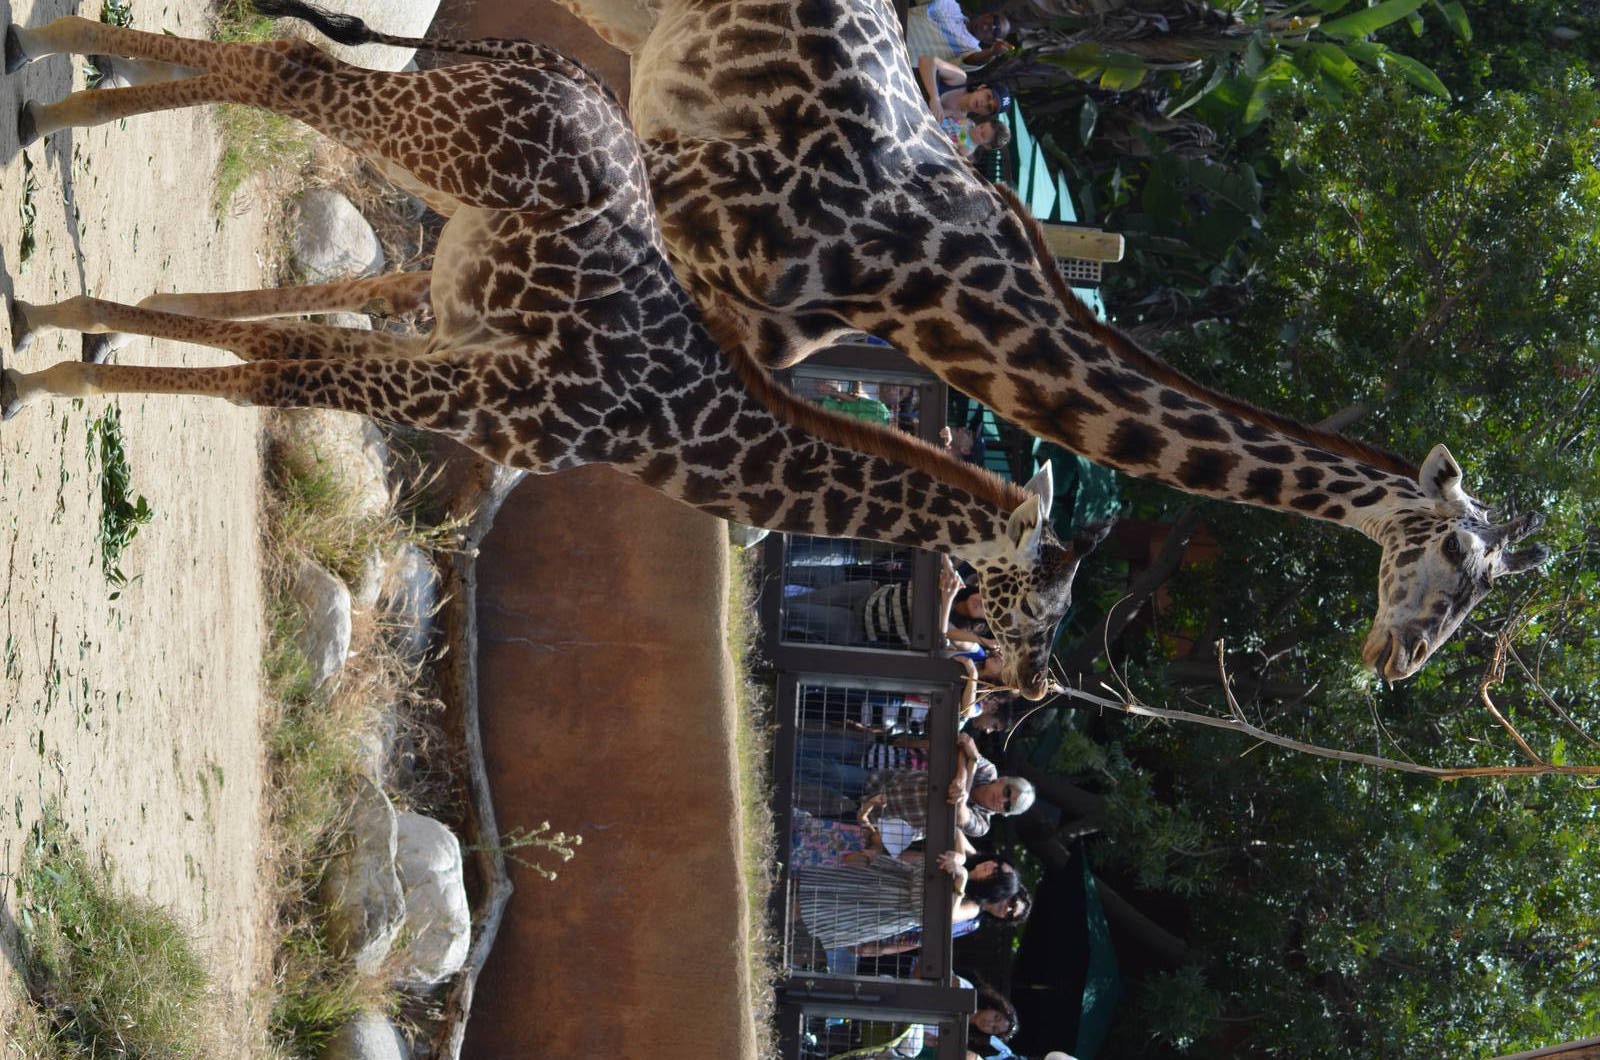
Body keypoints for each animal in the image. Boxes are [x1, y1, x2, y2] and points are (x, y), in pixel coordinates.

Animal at [0, 12, 1110, 699]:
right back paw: (48, 64)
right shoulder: (477, 395)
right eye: (1041, 599)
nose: (1029, 681)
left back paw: (48, 94)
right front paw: (53, 370)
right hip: (433, 132)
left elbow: (284, 341)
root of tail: (539, 63)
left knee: (284, 67)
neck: (659, 436)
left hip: (439, 137)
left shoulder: (452, 344)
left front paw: (72, 321)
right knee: (289, 67)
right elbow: (274, 369)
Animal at [511, 0, 1548, 682]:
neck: (915, 279)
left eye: (1482, 594)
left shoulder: (749, 335)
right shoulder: (668, 199)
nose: (1401, 658)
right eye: (1460, 561)